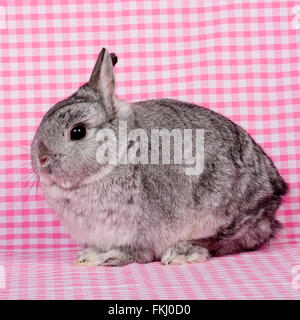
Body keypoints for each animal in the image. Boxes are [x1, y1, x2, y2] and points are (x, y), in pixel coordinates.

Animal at [31, 47, 288, 266]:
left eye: (77, 132)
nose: (41, 159)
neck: (120, 151)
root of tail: (272, 196)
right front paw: (88, 256)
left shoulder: (140, 230)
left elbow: (135, 252)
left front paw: (109, 258)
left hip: (223, 214)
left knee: (222, 242)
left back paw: (182, 253)